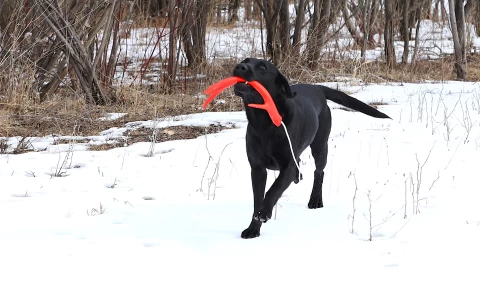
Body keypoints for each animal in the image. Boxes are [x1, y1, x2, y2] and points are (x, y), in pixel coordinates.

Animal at [232, 57, 390, 238]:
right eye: (245, 60)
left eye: (263, 67)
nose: (240, 67)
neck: (264, 122)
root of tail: (317, 87)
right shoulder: (257, 168)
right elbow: (258, 198)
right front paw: (253, 229)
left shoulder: (287, 166)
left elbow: (273, 190)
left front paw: (264, 213)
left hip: (320, 145)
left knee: (319, 172)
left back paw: (315, 200)